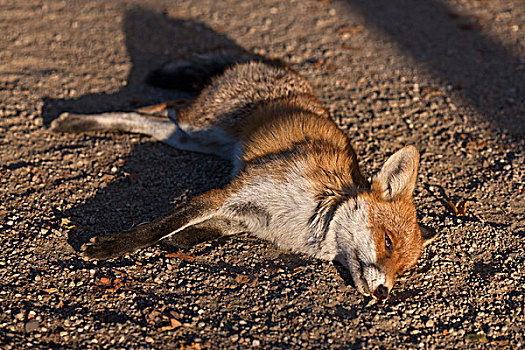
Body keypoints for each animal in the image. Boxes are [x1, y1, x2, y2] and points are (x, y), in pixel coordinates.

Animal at [51, 50, 436, 300]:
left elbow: (196, 231)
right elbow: (161, 224)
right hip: (196, 121)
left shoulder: (247, 218)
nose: (384, 293)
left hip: (188, 137)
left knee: (147, 121)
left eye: (402, 270)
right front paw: (108, 247)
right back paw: (69, 119)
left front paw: (178, 241)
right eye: (388, 242)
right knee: (156, 107)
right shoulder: (230, 192)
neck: (312, 219)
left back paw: (76, 123)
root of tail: (276, 65)